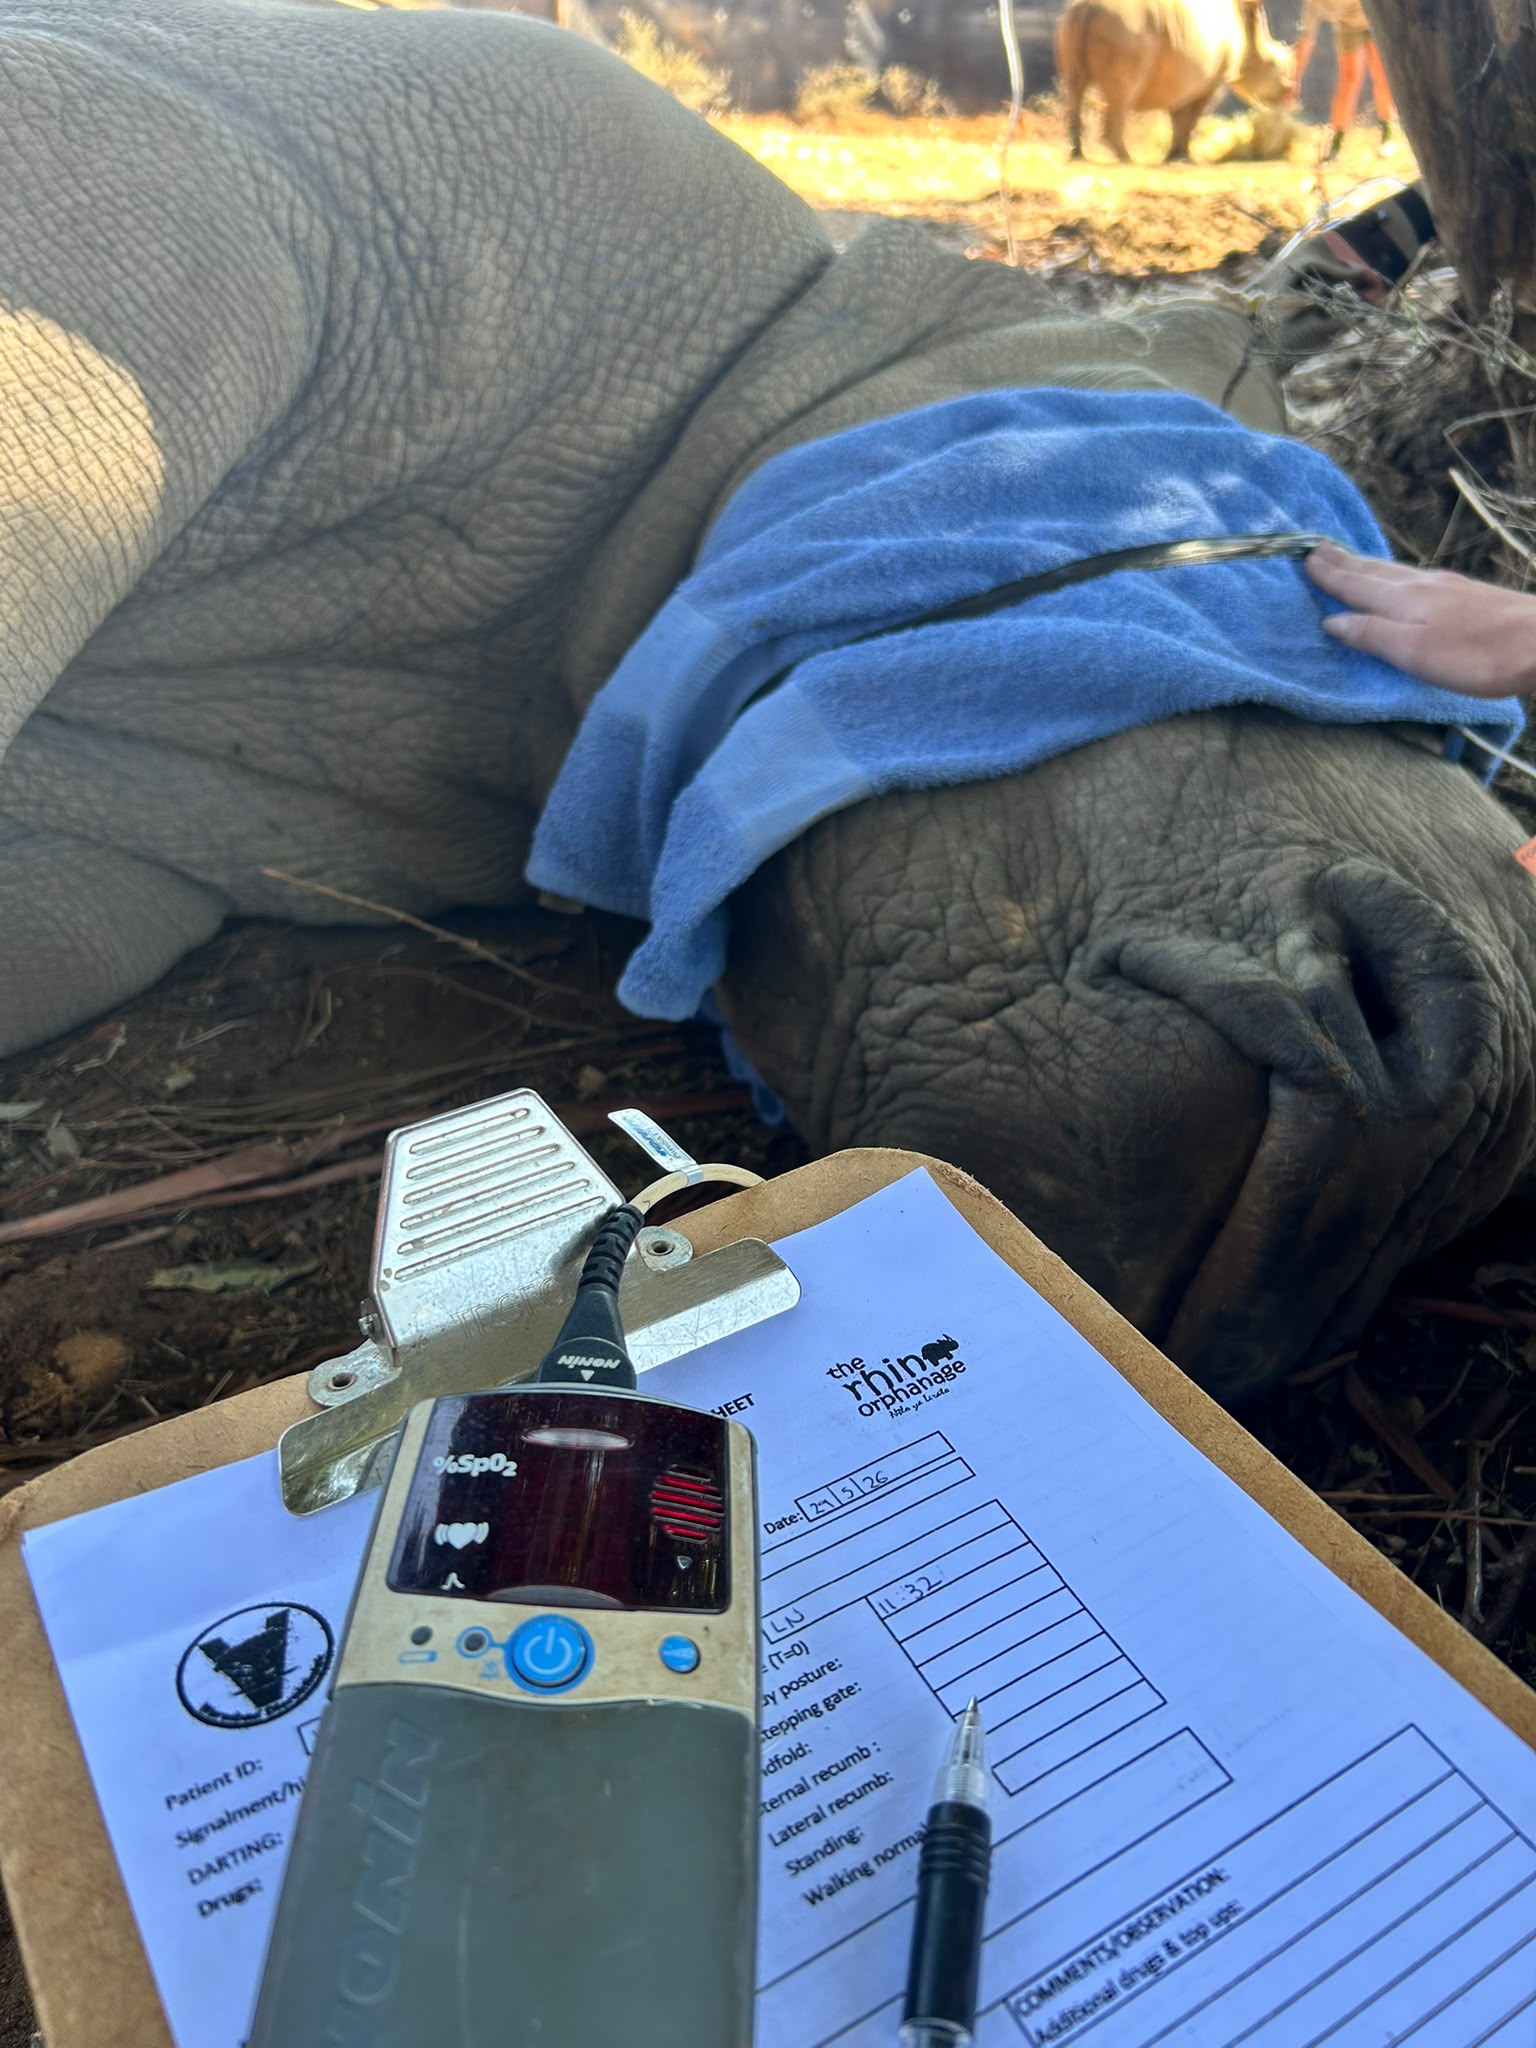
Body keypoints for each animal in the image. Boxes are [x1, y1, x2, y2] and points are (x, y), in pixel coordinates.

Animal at [1056, 0, 1294, 161]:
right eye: (1275, 64)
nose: (1288, 95)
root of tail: (1087, 7)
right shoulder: (1216, 80)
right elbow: (1192, 116)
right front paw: (1186, 157)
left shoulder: (1179, 75)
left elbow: (1177, 115)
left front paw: (1175, 155)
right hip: (1125, 26)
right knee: (1122, 94)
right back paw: (1128, 158)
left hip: (1071, 21)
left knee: (1074, 87)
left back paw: (1077, 154)